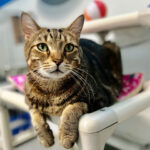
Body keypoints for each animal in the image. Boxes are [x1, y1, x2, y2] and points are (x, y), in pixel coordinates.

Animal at [20, 12, 122, 149]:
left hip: (112, 46)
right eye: (42, 46)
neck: (52, 91)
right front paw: (45, 136)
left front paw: (66, 135)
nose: (58, 60)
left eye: (69, 47)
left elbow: (73, 106)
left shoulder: (102, 98)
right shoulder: (27, 100)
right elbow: (34, 112)